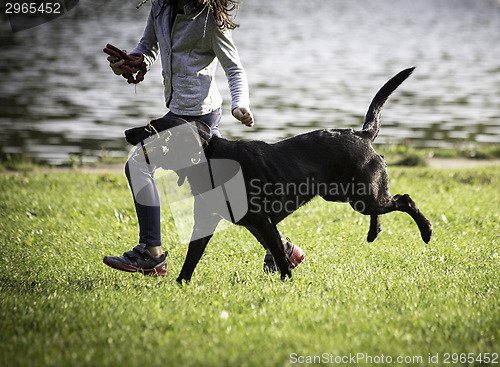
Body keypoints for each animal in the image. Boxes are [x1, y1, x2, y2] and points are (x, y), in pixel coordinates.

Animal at [126, 67, 434, 284]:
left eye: (151, 127)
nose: (127, 132)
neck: (207, 159)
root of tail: (361, 134)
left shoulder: (263, 222)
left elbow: (280, 257)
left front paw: (287, 283)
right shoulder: (206, 222)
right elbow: (191, 259)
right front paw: (180, 285)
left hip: (363, 197)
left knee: (405, 199)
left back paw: (427, 231)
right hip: (350, 197)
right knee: (386, 206)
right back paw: (374, 232)